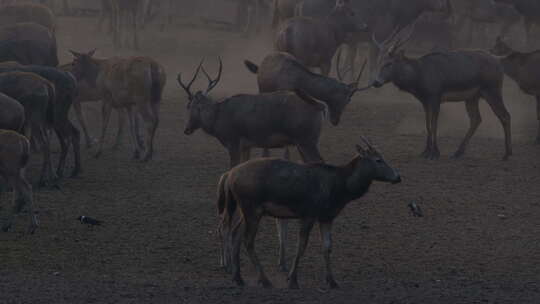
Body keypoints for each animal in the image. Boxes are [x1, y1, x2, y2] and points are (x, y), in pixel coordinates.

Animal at [219, 139, 400, 288]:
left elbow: (327, 247)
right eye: (378, 160)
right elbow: (301, 246)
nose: (397, 177)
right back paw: (264, 280)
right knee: (247, 240)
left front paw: (332, 281)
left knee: (235, 233)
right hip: (252, 208)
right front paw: (292, 280)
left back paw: (238, 278)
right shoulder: (309, 214)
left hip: (245, 209)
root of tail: (229, 175)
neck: (340, 190)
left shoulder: (327, 217)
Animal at [370, 23, 512, 159]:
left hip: (492, 90)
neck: (419, 78)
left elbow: (434, 124)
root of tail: (499, 62)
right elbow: (427, 124)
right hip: (472, 97)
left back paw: (507, 154)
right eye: (379, 62)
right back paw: (458, 152)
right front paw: (425, 151)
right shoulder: (424, 101)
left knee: (505, 115)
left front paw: (435, 153)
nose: (376, 82)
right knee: (476, 119)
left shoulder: (436, 95)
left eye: (389, 63)